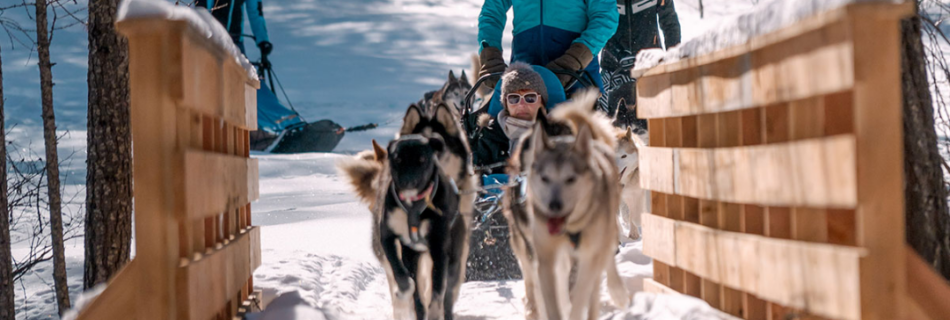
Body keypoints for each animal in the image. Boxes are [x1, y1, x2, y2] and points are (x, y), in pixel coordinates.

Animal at [342, 103, 476, 320]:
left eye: (441, 148)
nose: (410, 180)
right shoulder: (398, 246)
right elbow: (410, 286)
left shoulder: (441, 251)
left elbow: (439, 291)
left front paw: (435, 309)